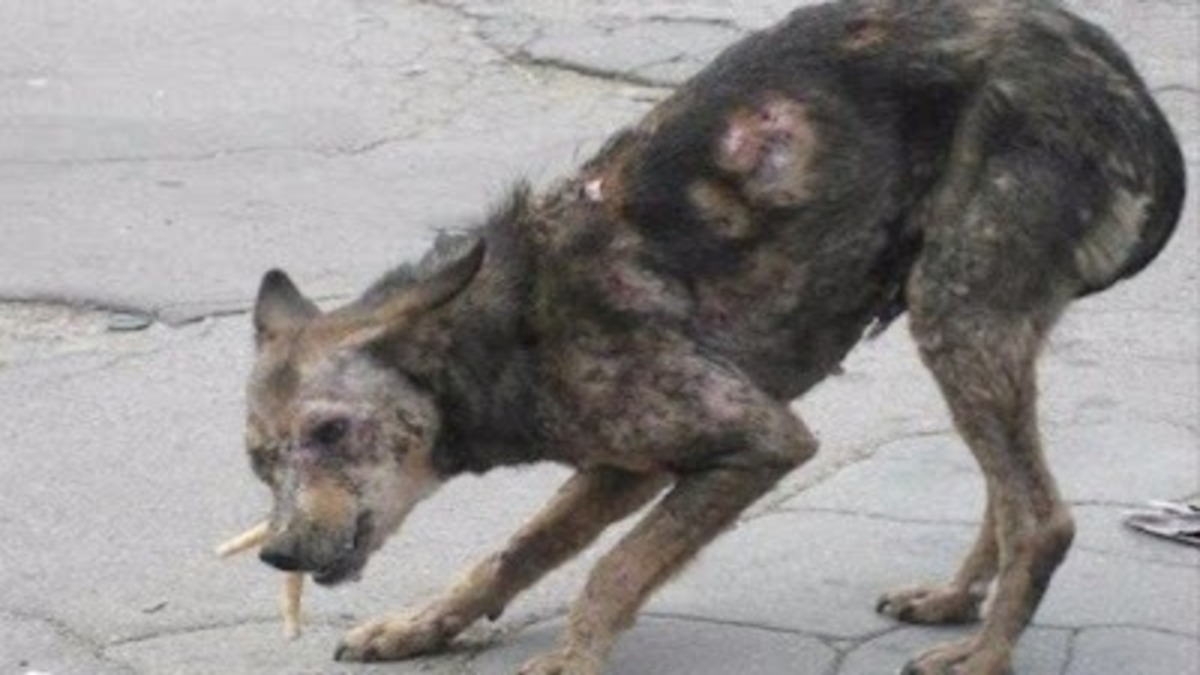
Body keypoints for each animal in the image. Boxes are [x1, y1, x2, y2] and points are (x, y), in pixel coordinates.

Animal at [238, 2, 1185, 667]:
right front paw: (423, 624)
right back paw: (955, 599)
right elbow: (516, 551)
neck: (511, 324)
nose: (276, 552)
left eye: (332, 431)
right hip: (976, 320)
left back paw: (984, 654)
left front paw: (573, 658)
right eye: (258, 463)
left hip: (956, 311)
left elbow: (615, 568)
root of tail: (1122, 77)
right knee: (1009, 492)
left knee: (1044, 516)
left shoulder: (756, 440)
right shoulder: (624, 465)